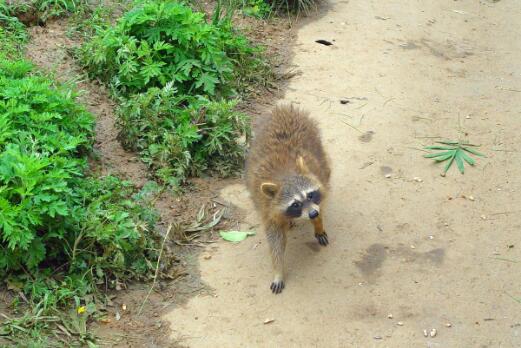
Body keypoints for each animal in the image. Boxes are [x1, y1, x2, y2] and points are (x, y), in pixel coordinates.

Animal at [246, 104, 332, 294]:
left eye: (310, 195)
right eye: (295, 204)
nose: (313, 214)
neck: (285, 176)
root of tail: (283, 108)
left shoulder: (320, 177)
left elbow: (322, 202)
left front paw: (319, 223)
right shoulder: (266, 207)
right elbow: (275, 240)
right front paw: (278, 270)